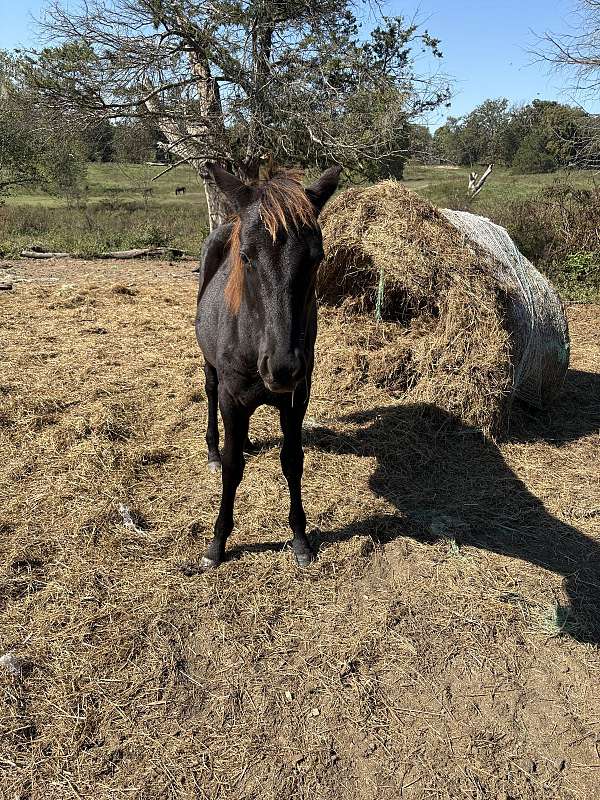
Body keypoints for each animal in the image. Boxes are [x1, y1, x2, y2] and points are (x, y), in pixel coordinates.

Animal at [195, 163, 342, 570]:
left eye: (316, 257)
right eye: (246, 257)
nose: (282, 367)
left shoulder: (297, 399)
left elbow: (292, 461)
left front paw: (300, 539)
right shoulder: (232, 398)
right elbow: (232, 469)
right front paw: (217, 543)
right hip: (211, 371)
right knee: (210, 394)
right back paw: (213, 451)